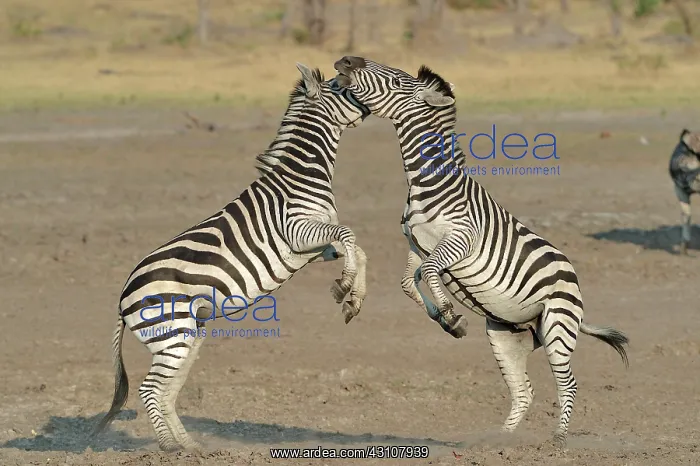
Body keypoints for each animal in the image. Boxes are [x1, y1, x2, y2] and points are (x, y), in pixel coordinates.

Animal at [92, 63, 371, 452]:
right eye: (342, 89)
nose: (368, 108)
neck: (301, 176)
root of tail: (121, 299)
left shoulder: (315, 249)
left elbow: (356, 246)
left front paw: (353, 296)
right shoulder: (297, 232)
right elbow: (349, 235)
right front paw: (346, 286)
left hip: (186, 336)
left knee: (166, 391)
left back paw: (189, 447)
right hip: (172, 335)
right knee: (151, 389)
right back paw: (169, 448)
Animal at [333, 56, 629, 447]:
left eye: (396, 80)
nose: (346, 61)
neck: (427, 182)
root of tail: (573, 276)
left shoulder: (461, 240)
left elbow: (431, 272)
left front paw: (450, 314)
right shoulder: (416, 244)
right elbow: (408, 281)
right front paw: (443, 319)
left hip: (558, 326)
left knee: (568, 384)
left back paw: (558, 439)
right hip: (507, 334)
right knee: (524, 391)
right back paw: (499, 442)